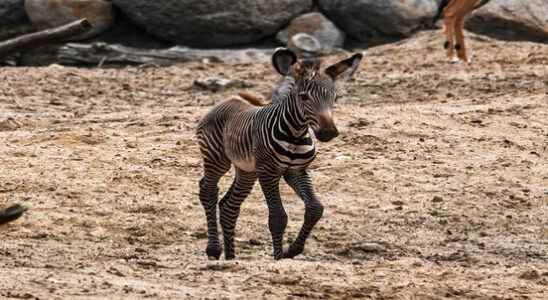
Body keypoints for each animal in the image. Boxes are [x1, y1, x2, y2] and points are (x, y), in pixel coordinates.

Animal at [195, 48, 362, 258]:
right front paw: (279, 257)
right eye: (304, 97)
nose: (329, 133)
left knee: (228, 206)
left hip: (247, 170)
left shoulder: (297, 171)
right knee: (208, 191)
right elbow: (277, 217)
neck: (296, 134)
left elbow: (315, 208)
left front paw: (293, 250)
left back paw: (230, 258)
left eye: (334, 98)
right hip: (216, 158)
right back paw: (214, 249)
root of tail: (228, 99)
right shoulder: (268, 172)